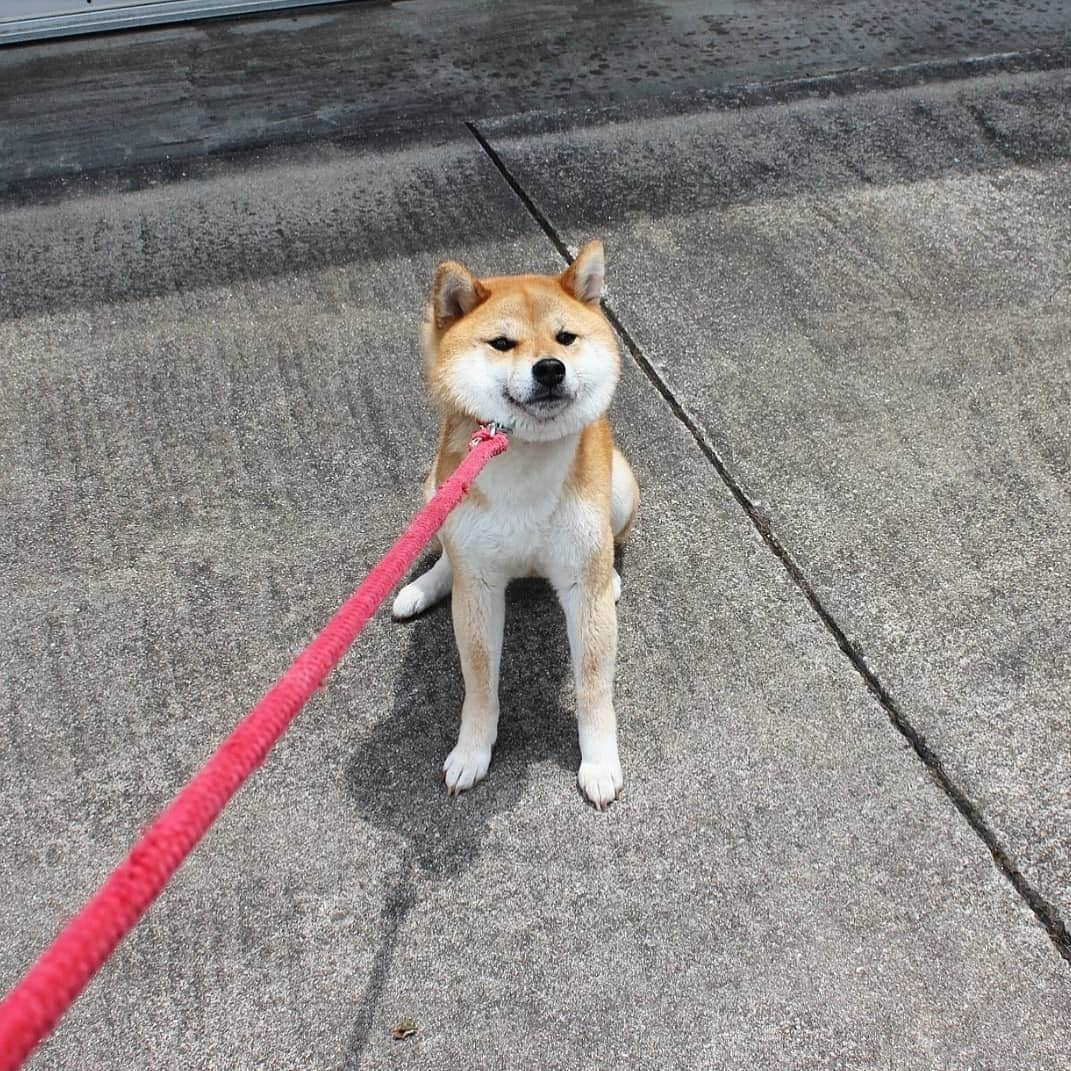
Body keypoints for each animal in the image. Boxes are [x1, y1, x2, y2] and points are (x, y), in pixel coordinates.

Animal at [398, 240, 638, 809]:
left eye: (566, 338)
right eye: (502, 344)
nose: (550, 368)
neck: (525, 458)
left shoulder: (582, 584)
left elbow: (593, 686)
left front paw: (600, 762)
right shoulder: (481, 586)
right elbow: (479, 682)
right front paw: (472, 751)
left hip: (620, 485)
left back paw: (615, 576)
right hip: (436, 491)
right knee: (448, 556)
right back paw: (422, 587)